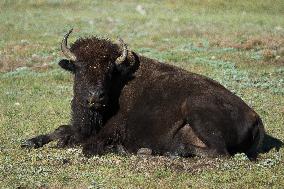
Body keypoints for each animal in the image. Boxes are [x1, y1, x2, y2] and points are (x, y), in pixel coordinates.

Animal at [21, 29, 264, 158]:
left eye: (110, 70)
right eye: (78, 67)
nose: (95, 97)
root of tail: (256, 117)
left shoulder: (109, 131)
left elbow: (87, 145)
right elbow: (60, 130)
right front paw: (29, 141)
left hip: (196, 110)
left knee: (219, 152)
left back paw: (162, 151)